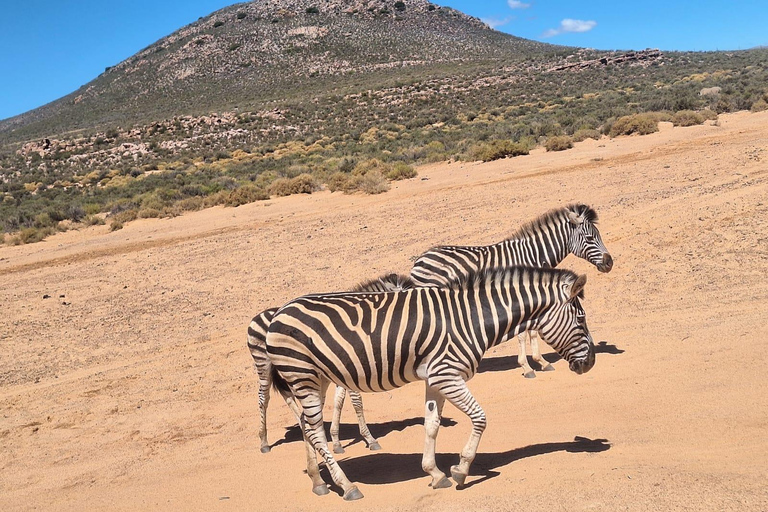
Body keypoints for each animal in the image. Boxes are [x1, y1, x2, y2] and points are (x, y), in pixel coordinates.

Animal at [246, 272, 414, 452]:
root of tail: (260, 314)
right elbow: (356, 402)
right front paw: (370, 439)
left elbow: (338, 401)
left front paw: (336, 441)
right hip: (264, 363)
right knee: (263, 397)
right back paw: (264, 442)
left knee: (288, 395)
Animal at [268, 264, 596, 500]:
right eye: (581, 319)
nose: (591, 362)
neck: (472, 318)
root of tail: (279, 312)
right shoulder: (448, 374)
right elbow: (480, 418)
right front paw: (461, 469)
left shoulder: (436, 378)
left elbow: (432, 425)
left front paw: (435, 474)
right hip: (302, 375)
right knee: (315, 431)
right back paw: (346, 486)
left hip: (317, 379)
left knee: (306, 427)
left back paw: (318, 480)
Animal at [412, 205, 608, 380]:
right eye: (590, 238)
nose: (609, 263)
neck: (532, 255)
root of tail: (420, 258)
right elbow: (522, 335)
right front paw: (527, 367)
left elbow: (533, 331)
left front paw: (542, 362)